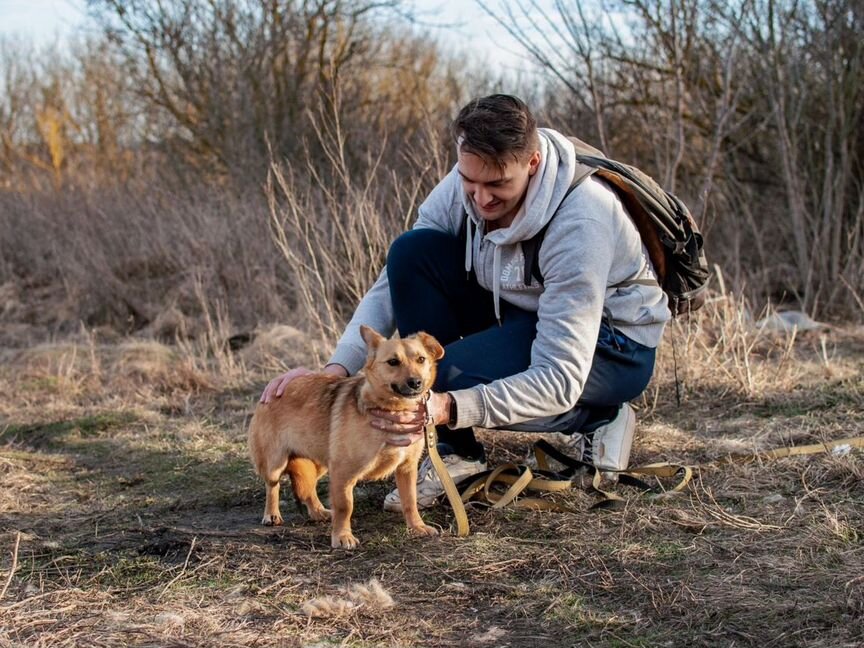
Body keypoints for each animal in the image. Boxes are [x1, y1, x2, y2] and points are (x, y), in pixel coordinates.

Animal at [246, 326, 442, 548]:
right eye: (393, 362)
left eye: (421, 359)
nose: (416, 382)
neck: (394, 408)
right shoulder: (343, 472)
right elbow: (345, 507)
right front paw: (342, 536)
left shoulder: (406, 468)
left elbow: (410, 501)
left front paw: (417, 527)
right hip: (275, 464)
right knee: (273, 485)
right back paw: (271, 514)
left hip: (319, 461)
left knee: (308, 488)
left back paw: (318, 512)